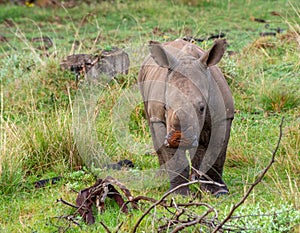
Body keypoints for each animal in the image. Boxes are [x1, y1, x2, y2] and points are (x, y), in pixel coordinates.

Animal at [138, 39, 234, 196]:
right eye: (165, 107)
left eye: (202, 108)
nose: (180, 140)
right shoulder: (159, 119)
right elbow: (174, 156)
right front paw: (179, 193)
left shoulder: (223, 117)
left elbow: (216, 152)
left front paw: (218, 191)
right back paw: (162, 179)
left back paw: (195, 180)